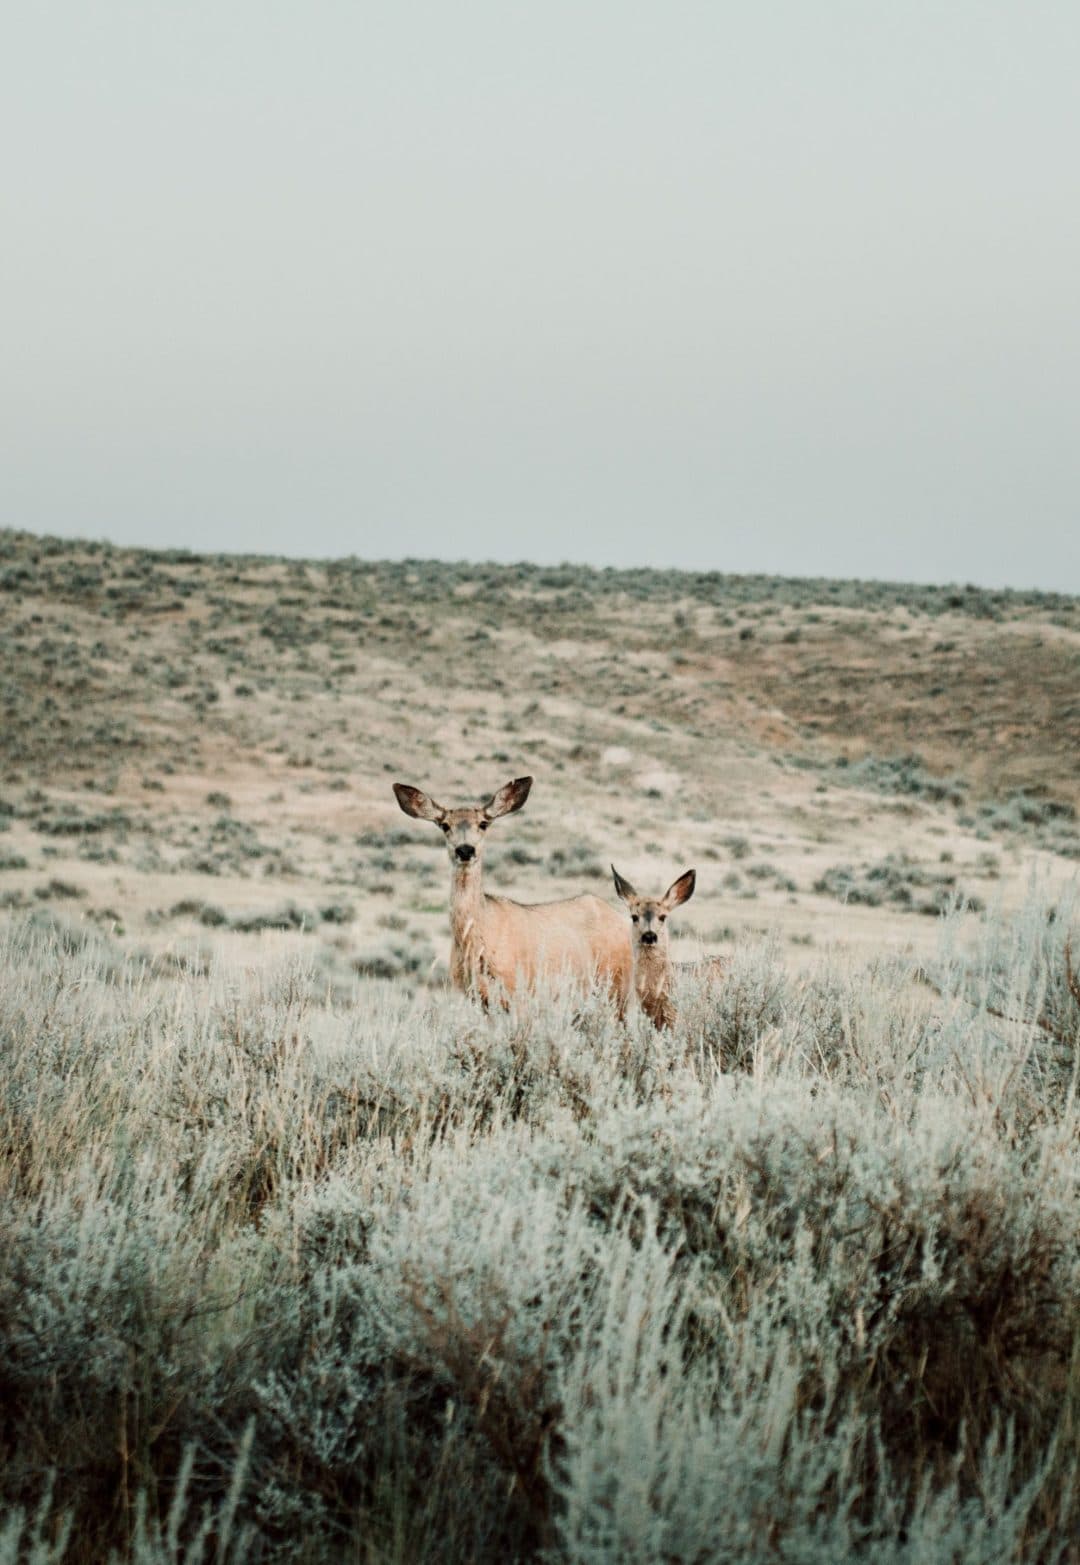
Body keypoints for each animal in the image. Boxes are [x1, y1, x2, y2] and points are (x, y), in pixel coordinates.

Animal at [392, 776, 632, 1007]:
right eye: (444, 825)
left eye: (483, 823)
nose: (465, 850)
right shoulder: (474, 996)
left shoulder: (519, 990)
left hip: (616, 983)